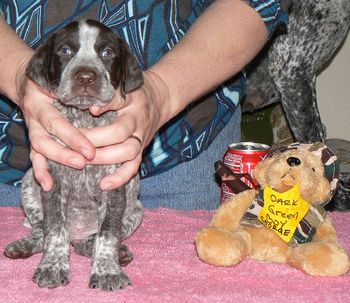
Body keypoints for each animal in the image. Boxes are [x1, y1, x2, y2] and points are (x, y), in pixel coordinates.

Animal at [4, 19, 144, 292]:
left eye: (107, 53)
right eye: (65, 51)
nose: (86, 76)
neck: (84, 120)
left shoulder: (113, 186)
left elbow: (107, 234)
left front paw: (108, 270)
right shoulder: (52, 182)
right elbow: (55, 230)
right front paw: (53, 266)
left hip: (135, 211)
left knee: (91, 240)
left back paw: (107, 250)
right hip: (29, 184)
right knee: (42, 231)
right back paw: (25, 245)